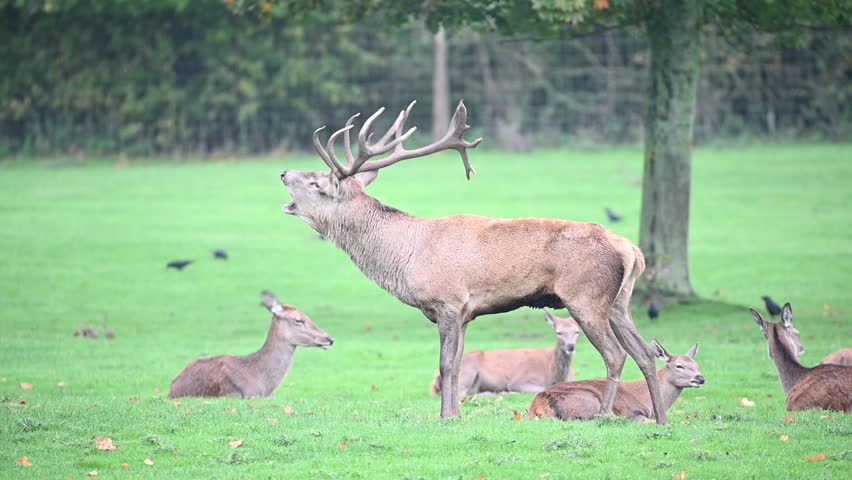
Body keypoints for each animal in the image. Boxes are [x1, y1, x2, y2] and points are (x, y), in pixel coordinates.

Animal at [431, 309, 581, 397]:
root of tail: (436, 377)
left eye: (577, 331)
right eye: (559, 332)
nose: (571, 346)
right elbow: (541, 388)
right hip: (466, 372)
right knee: (461, 393)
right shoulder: (519, 380)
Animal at [527, 339, 703, 421]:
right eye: (679, 366)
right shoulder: (633, 413)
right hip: (588, 402)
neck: (646, 401)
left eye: (697, 365)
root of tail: (537, 406)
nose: (700, 378)